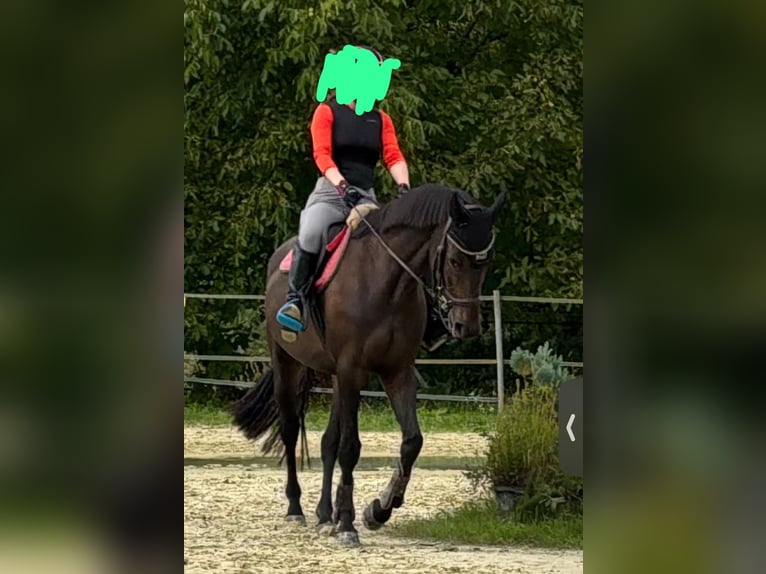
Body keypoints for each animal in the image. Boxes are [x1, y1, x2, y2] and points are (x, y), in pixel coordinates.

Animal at [232, 183, 506, 546]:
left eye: (487, 263)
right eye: (455, 260)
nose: (467, 326)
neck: (386, 281)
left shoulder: (397, 372)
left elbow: (411, 442)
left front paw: (379, 509)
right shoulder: (353, 372)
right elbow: (351, 448)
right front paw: (348, 525)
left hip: (334, 376)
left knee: (327, 441)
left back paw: (325, 514)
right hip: (287, 363)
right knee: (290, 430)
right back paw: (296, 509)